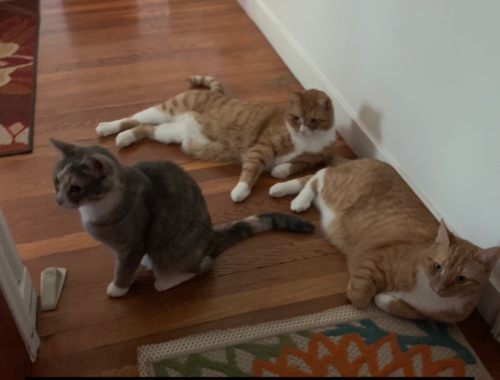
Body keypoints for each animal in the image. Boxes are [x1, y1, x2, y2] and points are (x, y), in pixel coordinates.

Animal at [51, 138, 316, 298]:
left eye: (75, 188)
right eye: (56, 181)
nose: (59, 200)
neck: (95, 209)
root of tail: (210, 238)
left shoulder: (132, 244)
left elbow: (124, 268)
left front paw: (118, 287)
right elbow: (128, 265)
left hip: (172, 251)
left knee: (204, 265)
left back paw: (166, 280)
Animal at [95, 75, 338, 203]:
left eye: (313, 120)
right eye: (296, 118)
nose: (302, 130)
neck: (306, 141)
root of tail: (215, 93)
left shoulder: (313, 158)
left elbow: (294, 165)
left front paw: (280, 170)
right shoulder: (260, 148)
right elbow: (250, 171)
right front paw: (240, 191)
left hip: (170, 132)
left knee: (144, 128)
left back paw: (125, 138)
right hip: (165, 111)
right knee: (134, 117)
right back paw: (107, 128)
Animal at [272, 158, 498, 324]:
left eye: (461, 279)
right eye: (438, 266)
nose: (440, 286)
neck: (427, 293)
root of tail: (371, 160)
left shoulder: (427, 315)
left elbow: (400, 307)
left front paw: (384, 297)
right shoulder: (374, 259)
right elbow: (360, 297)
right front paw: (361, 293)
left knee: (313, 178)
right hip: (336, 189)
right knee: (319, 175)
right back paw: (293, 196)